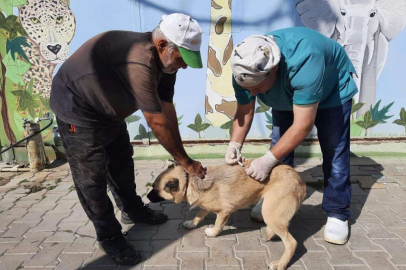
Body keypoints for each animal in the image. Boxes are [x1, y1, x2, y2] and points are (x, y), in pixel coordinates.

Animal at [147, 160, 306, 270]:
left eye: (155, 189)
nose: (147, 197)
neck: (189, 182)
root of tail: (300, 180)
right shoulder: (206, 206)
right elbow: (199, 213)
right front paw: (191, 223)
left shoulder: (225, 211)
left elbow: (218, 224)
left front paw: (212, 233)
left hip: (270, 213)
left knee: (292, 243)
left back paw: (280, 264)